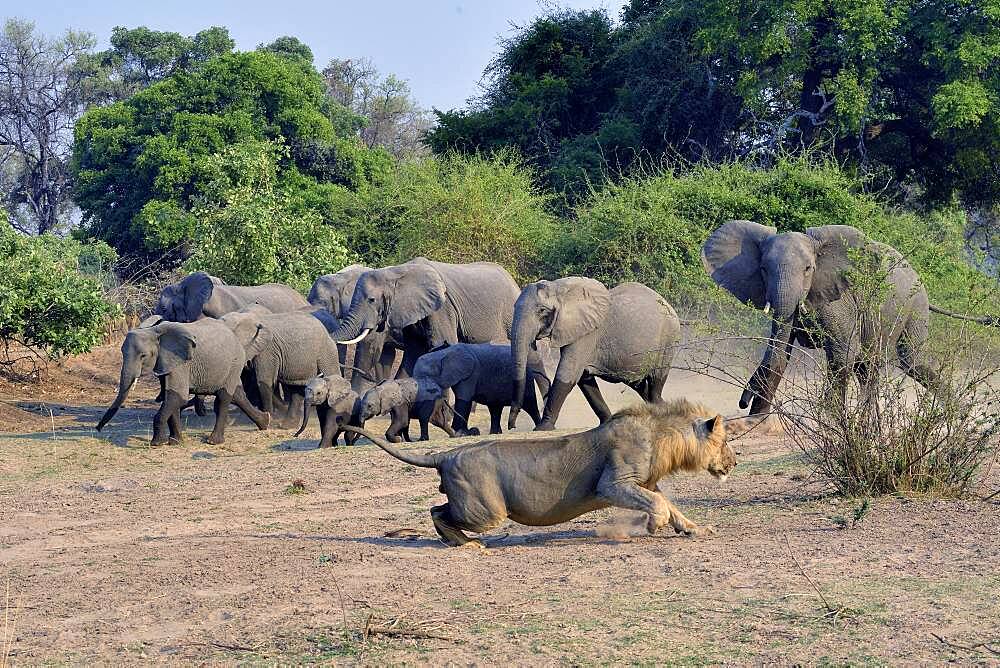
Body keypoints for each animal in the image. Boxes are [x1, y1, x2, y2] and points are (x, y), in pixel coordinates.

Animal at [95, 318, 268, 444]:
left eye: (143, 356)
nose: (98, 428)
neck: (154, 331)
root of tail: (239, 341)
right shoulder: (167, 362)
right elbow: (171, 397)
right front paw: (175, 442)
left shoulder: (181, 363)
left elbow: (177, 396)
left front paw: (157, 443)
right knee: (237, 395)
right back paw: (265, 422)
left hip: (234, 362)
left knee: (224, 397)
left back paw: (213, 441)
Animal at [340, 396, 740, 548]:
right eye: (724, 440)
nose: (734, 462)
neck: (664, 437)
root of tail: (447, 454)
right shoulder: (613, 483)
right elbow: (657, 504)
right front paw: (654, 526)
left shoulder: (646, 483)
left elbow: (670, 504)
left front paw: (692, 529)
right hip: (488, 510)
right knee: (437, 510)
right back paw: (466, 544)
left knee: (437, 509)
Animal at [508, 276, 680, 428]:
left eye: (542, 310)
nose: (512, 426)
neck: (560, 289)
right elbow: (584, 378)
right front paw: (607, 422)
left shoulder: (587, 334)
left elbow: (568, 373)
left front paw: (543, 427)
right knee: (639, 385)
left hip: (668, 338)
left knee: (655, 382)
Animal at [700, 222, 996, 414]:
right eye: (762, 269)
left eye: (808, 269)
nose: (743, 402)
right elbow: (780, 353)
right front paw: (757, 419)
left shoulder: (839, 301)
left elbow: (842, 354)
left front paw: (831, 420)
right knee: (868, 367)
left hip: (913, 304)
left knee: (908, 360)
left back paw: (958, 414)